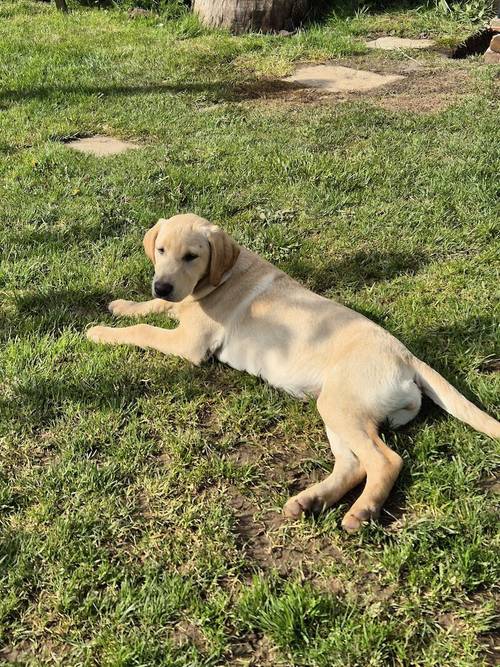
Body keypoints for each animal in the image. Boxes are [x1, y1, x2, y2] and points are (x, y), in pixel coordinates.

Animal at [87, 214, 500, 532]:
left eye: (192, 256)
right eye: (160, 250)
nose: (163, 283)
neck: (220, 276)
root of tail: (407, 356)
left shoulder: (190, 343)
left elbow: (144, 330)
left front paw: (100, 331)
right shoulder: (176, 306)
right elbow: (152, 308)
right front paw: (123, 305)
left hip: (342, 404)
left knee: (385, 461)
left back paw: (360, 512)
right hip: (337, 408)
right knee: (353, 464)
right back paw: (310, 501)